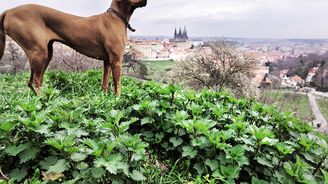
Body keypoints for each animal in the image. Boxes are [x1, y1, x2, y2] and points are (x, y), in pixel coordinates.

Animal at [0, 0, 147, 96]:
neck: (116, 17)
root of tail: (8, 11)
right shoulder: (116, 60)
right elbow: (117, 85)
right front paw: (118, 101)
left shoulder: (107, 61)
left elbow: (105, 83)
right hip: (39, 52)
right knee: (36, 82)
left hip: (46, 54)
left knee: (33, 82)